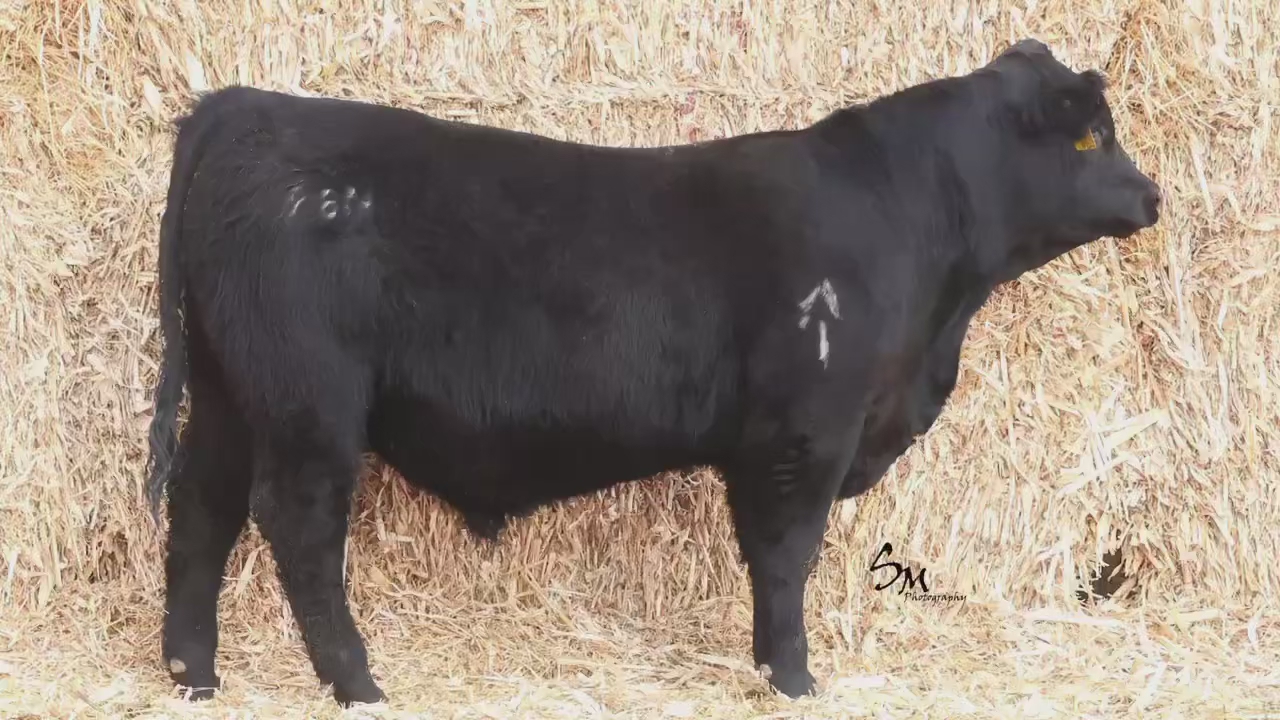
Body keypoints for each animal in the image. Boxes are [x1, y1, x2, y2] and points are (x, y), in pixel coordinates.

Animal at [145, 38, 1160, 706]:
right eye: (1090, 139)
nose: (1152, 193)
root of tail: (247, 106)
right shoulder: (804, 433)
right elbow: (785, 558)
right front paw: (793, 677)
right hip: (308, 404)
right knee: (299, 529)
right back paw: (358, 684)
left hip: (230, 392)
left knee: (202, 507)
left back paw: (194, 674)